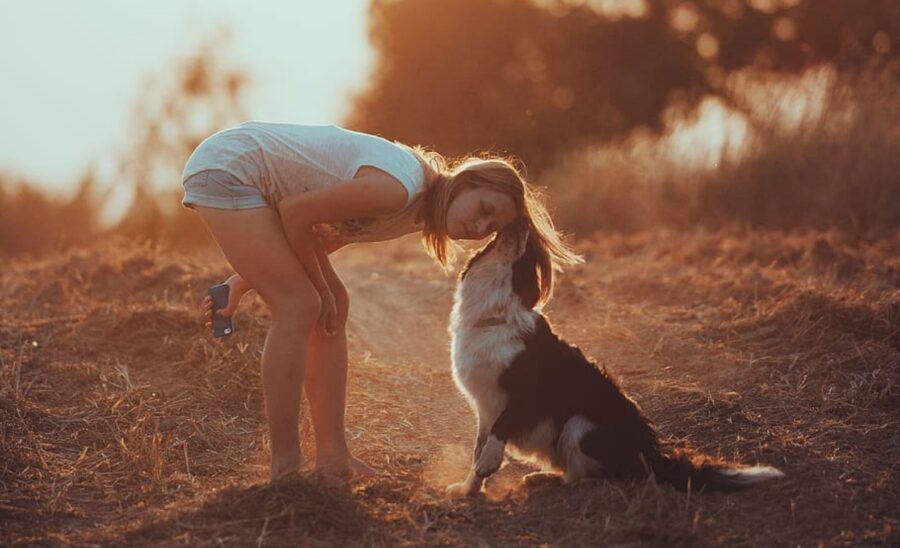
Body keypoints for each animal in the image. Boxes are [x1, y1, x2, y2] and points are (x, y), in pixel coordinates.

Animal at [446, 222, 784, 496]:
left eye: (529, 257)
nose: (519, 221)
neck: (494, 317)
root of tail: (652, 456)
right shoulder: (484, 407)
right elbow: (478, 447)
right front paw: (469, 489)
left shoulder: (523, 394)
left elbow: (498, 432)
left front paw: (488, 466)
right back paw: (542, 478)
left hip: (580, 425)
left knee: (599, 476)